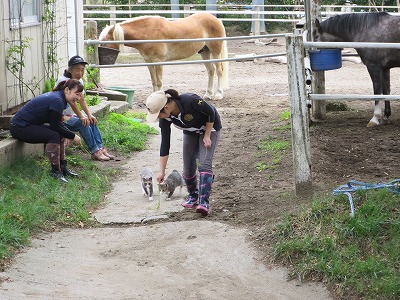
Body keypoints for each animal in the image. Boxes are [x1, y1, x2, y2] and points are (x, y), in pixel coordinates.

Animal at [99, 12, 228, 100]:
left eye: (105, 42)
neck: (147, 32)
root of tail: (216, 19)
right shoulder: (149, 62)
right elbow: (153, 81)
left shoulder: (158, 62)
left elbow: (159, 82)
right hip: (205, 52)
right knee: (211, 71)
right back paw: (208, 94)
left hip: (215, 51)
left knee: (219, 71)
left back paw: (218, 94)